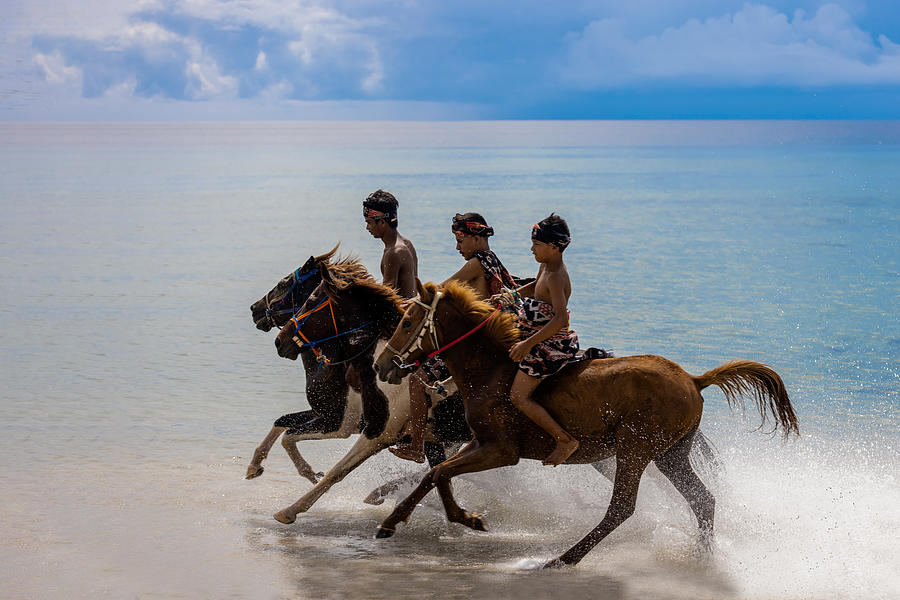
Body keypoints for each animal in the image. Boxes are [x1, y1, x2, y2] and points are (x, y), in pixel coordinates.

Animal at [374, 278, 800, 568]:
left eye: (408, 321)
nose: (381, 366)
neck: (490, 371)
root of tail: (694, 379)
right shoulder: (479, 443)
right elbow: (436, 474)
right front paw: (395, 521)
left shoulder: (502, 451)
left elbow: (440, 471)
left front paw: (464, 518)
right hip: (671, 454)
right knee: (702, 498)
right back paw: (704, 555)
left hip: (634, 449)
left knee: (622, 508)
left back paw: (563, 559)